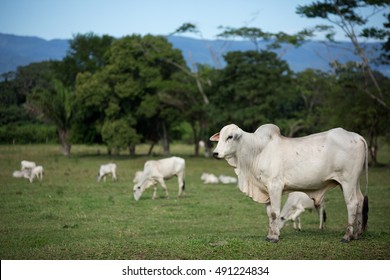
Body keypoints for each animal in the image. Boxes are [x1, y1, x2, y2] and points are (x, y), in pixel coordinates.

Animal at [210, 123, 368, 242]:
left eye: (230, 137)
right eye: (220, 137)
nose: (215, 153)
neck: (258, 150)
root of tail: (356, 136)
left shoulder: (275, 186)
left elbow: (275, 212)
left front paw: (274, 237)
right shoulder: (266, 189)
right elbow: (269, 214)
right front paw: (270, 235)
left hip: (347, 181)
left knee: (352, 203)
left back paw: (347, 236)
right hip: (354, 182)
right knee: (360, 200)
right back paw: (357, 234)